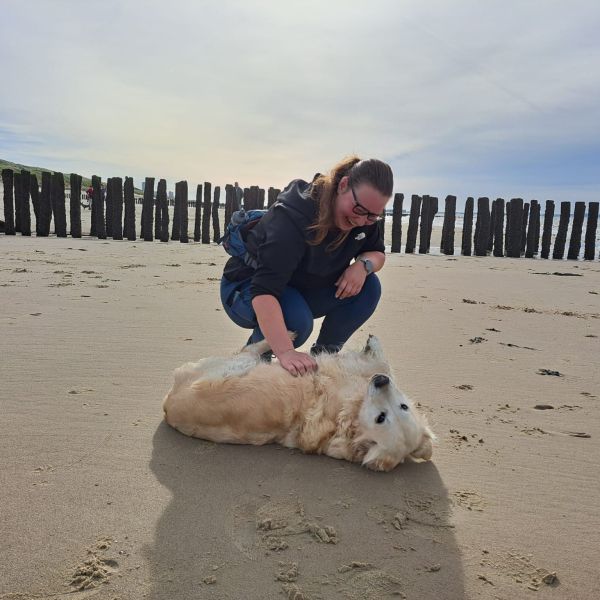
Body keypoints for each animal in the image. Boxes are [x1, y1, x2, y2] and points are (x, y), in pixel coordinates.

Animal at [163, 336, 436, 472]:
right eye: (403, 407)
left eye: (381, 417)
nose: (380, 382)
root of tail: (167, 407)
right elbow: (383, 365)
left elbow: (382, 363)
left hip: (234, 365)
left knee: (250, 348)